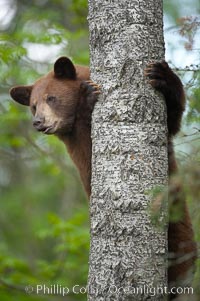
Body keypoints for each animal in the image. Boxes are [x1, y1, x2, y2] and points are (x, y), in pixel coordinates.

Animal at [9, 56, 197, 298]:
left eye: (51, 98)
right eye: (33, 105)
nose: (38, 122)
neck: (73, 124)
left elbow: (172, 121)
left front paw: (161, 74)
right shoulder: (77, 145)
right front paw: (89, 97)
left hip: (180, 223)